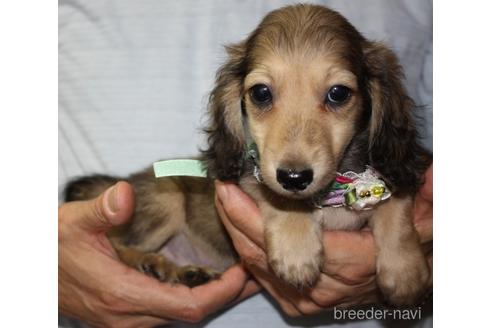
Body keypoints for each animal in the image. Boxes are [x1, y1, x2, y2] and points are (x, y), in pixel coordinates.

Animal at [64, 5, 430, 306]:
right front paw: (296, 248)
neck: (335, 190)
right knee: (119, 244)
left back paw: (186, 273)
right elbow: (275, 194)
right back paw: (152, 264)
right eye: (261, 93)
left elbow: (396, 210)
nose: (294, 177)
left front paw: (406, 271)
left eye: (338, 93)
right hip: (165, 201)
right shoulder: (250, 177)